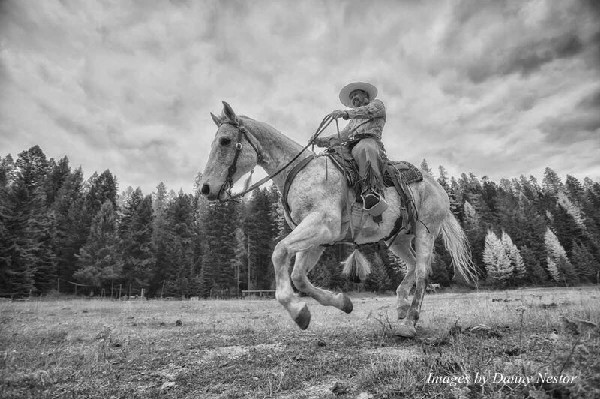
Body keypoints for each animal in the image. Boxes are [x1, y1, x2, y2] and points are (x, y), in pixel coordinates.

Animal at [202, 101, 478, 338]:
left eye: (225, 141)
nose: (205, 188)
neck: (301, 172)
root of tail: (437, 186)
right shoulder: (316, 238)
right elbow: (299, 277)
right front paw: (341, 303)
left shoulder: (322, 226)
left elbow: (280, 252)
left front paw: (297, 310)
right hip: (398, 239)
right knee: (411, 267)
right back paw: (401, 305)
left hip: (426, 232)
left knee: (422, 273)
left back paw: (409, 323)